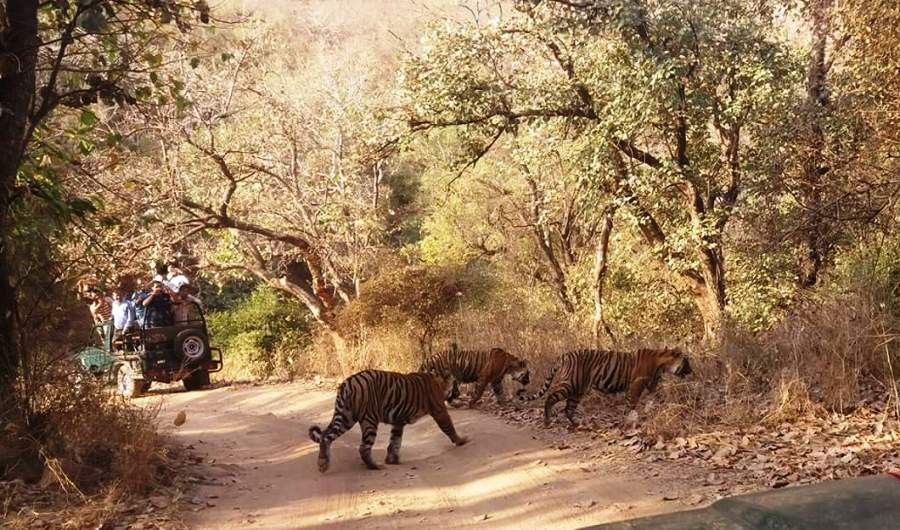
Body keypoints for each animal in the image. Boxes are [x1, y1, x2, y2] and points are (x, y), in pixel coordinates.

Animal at [308, 369, 468, 473]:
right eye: (456, 385)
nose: (459, 393)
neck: (439, 383)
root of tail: (348, 383)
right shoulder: (439, 410)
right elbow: (449, 427)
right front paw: (461, 440)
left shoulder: (398, 422)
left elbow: (395, 440)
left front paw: (392, 460)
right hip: (369, 419)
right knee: (363, 447)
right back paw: (375, 466)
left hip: (345, 417)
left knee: (326, 436)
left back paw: (322, 464)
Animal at [517, 347, 692, 427]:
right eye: (687, 363)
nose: (692, 371)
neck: (661, 364)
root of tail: (564, 355)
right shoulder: (636, 386)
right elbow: (631, 405)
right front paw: (629, 422)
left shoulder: (652, 385)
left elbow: (660, 397)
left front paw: (671, 408)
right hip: (570, 384)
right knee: (550, 398)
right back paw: (547, 420)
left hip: (578, 389)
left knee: (568, 408)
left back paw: (577, 424)